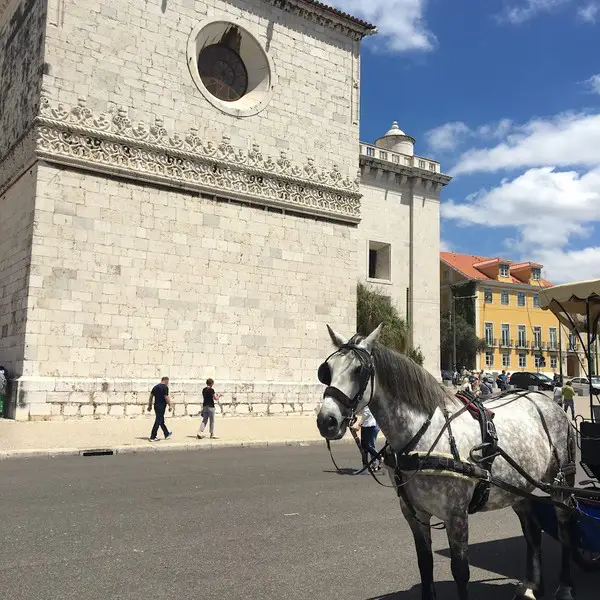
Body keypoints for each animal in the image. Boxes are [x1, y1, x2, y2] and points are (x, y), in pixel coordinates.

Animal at [318, 326, 576, 596]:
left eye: (359, 370)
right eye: (327, 370)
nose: (326, 421)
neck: (422, 436)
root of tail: (547, 401)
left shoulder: (456, 515)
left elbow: (460, 571)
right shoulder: (414, 513)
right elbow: (425, 563)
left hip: (560, 483)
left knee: (566, 528)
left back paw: (565, 586)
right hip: (518, 487)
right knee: (532, 531)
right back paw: (532, 585)